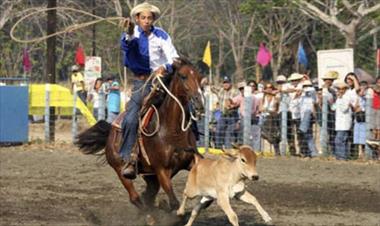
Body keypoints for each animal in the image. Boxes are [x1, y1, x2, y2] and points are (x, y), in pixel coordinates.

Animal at [75, 57, 205, 213]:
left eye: (199, 77)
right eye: (183, 76)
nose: (199, 102)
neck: (172, 130)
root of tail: (111, 131)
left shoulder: (190, 162)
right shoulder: (162, 170)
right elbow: (174, 202)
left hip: (150, 176)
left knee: (148, 194)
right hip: (121, 170)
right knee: (136, 198)